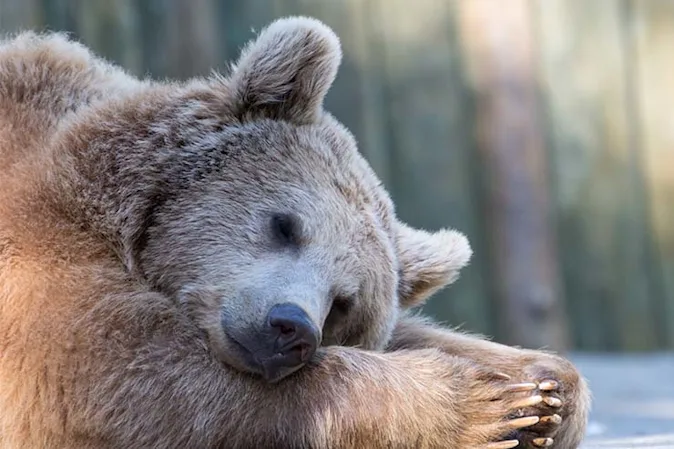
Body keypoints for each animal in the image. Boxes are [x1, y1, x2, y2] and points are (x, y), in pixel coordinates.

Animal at [0, 16, 590, 449]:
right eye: (285, 224)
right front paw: (478, 404)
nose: (290, 327)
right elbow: (122, 372)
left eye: (344, 302)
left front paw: (544, 389)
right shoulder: (38, 250)